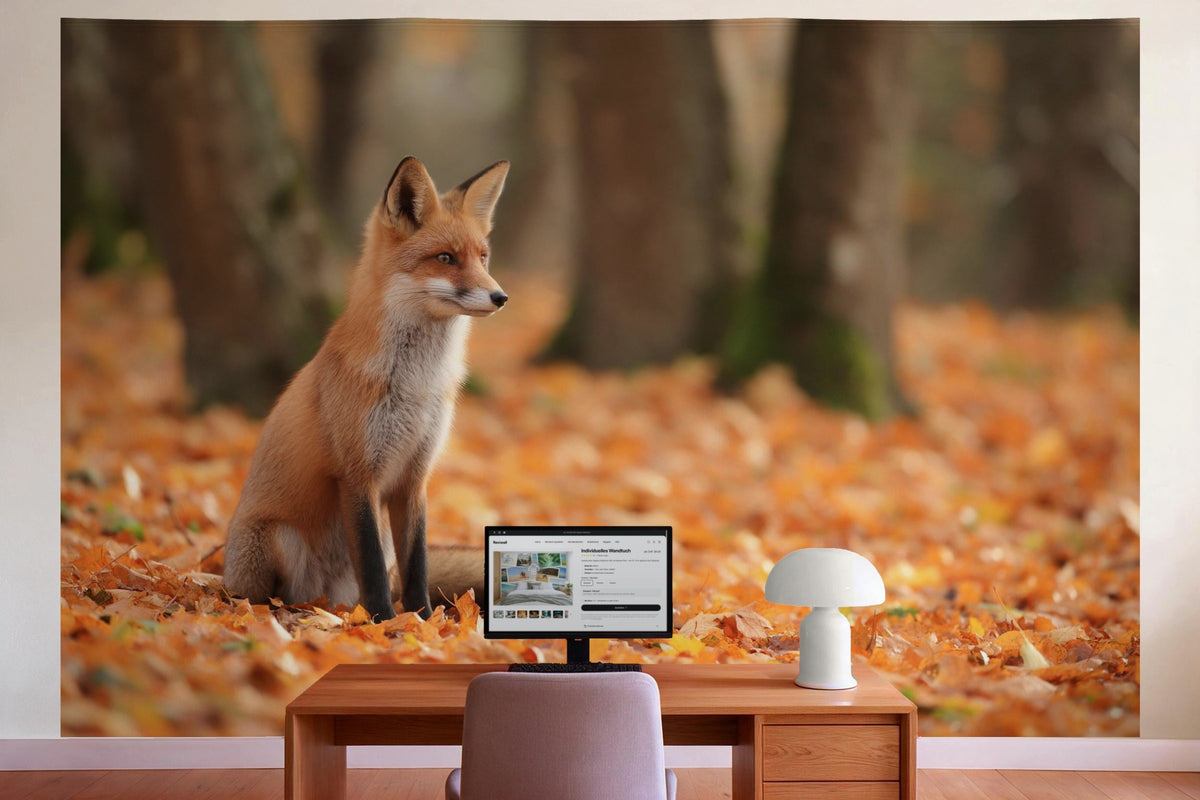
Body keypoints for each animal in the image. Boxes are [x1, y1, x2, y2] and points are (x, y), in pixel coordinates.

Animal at [223, 157, 508, 621]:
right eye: (445, 258)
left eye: (483, 258)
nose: (501, 297)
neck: (417, 385)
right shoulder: (357, 474)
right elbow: (371, 564)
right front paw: (383, 623)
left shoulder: (414, 477)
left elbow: (418, 564)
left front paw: (422, 621)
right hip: (278, 540)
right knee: (269, 596)